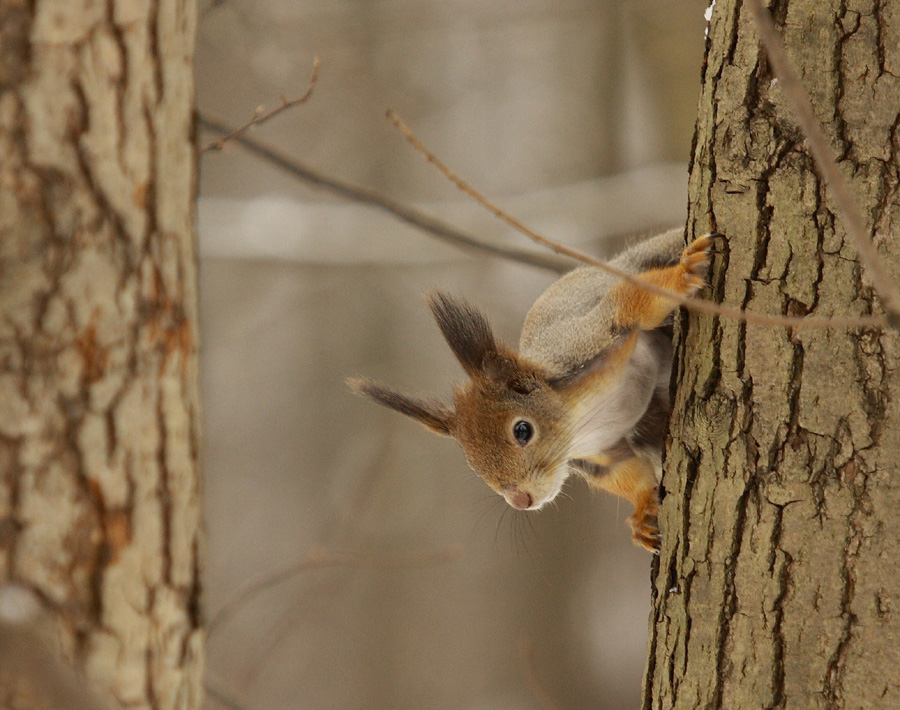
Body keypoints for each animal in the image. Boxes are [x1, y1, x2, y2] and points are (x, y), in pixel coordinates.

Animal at [350, 231, 712, 552]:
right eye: (471, 462)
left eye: (522, 430)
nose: (521, 500)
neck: (585, 416)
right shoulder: (604, 454)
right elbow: (627, 476)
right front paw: (642, 516)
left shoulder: (587, 340)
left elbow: (636, 303)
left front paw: (684, 274)